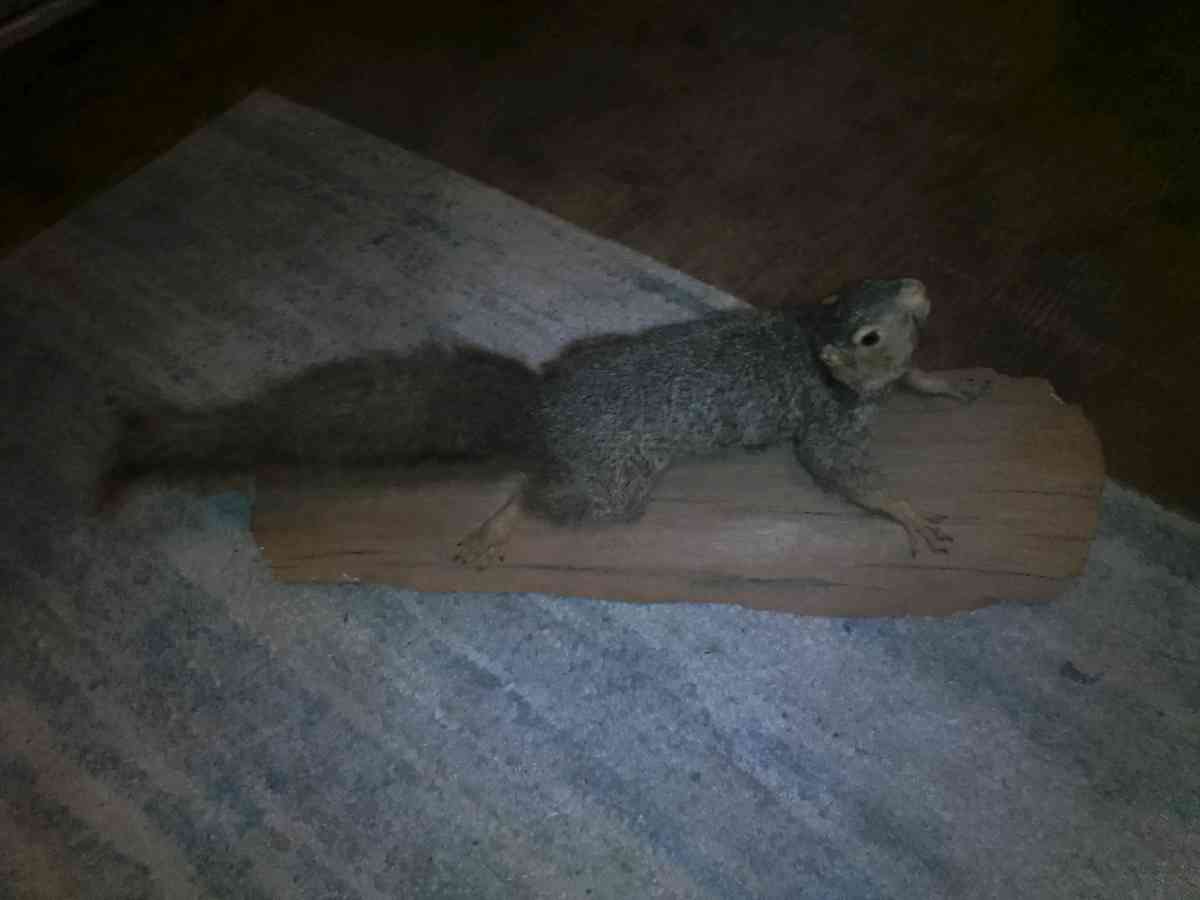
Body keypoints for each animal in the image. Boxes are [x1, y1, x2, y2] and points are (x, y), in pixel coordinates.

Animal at [100, 278, 985, 562]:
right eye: (865, 333)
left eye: (881, 283)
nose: (918, 287)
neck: (812, 345)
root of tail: (547, 406)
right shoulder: (827, 426)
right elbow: (844, 474)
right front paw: (906, 513)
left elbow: (921, 384)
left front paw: (950, 386)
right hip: (614, 484)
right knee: (542, 496)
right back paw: (504, 522)